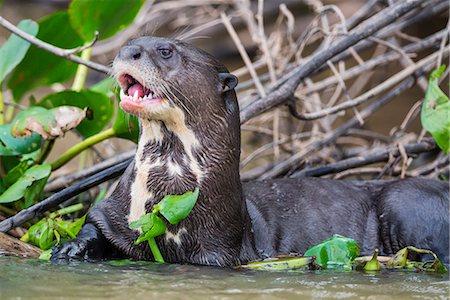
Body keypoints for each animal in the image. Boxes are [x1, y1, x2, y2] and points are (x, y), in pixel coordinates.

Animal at [51, 37, 446, 264]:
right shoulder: (113, 215)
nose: (125, 51)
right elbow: (92, 226)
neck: (167, 198)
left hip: (406, 201)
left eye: (165, 51)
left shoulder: (218, 251)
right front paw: (70, 248)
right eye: (134, 42)